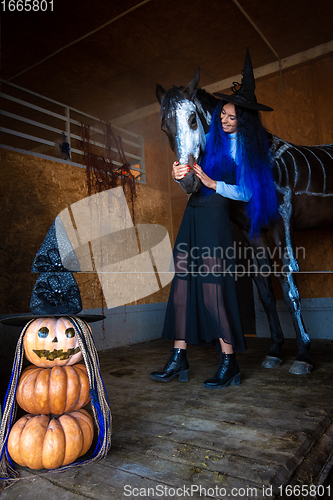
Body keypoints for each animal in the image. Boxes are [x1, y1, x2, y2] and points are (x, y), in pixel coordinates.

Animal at [156, 69, 332, 376]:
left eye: (192, 120)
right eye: (165, 128)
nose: (187, 180)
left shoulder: (281, 219)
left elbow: (289, 286)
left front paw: (303, 355)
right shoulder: (253, 232)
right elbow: (265, 290)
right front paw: (275, 350)